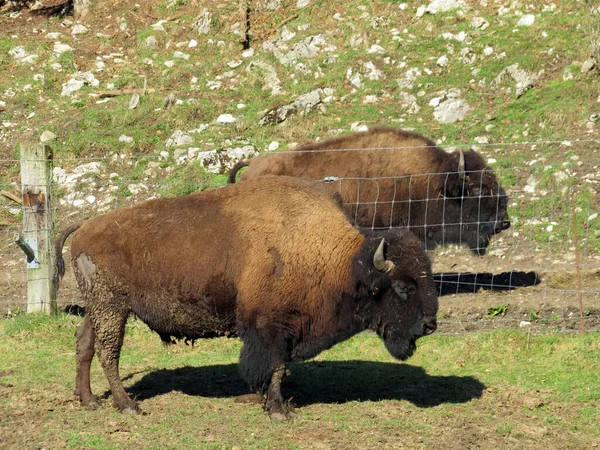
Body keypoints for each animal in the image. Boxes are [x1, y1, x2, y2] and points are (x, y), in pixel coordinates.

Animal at [56, 175, 438, 418]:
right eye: (403, 287)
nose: (430, 324)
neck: (339, 259)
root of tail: (86, 226)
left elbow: (278, 368)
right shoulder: (272, 328)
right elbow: (276, 366)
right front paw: (277, 409)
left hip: (98, 308)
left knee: (84, 343)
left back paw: (89, 400)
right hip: (112, 308)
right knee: (108, 351)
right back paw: (128, 405)